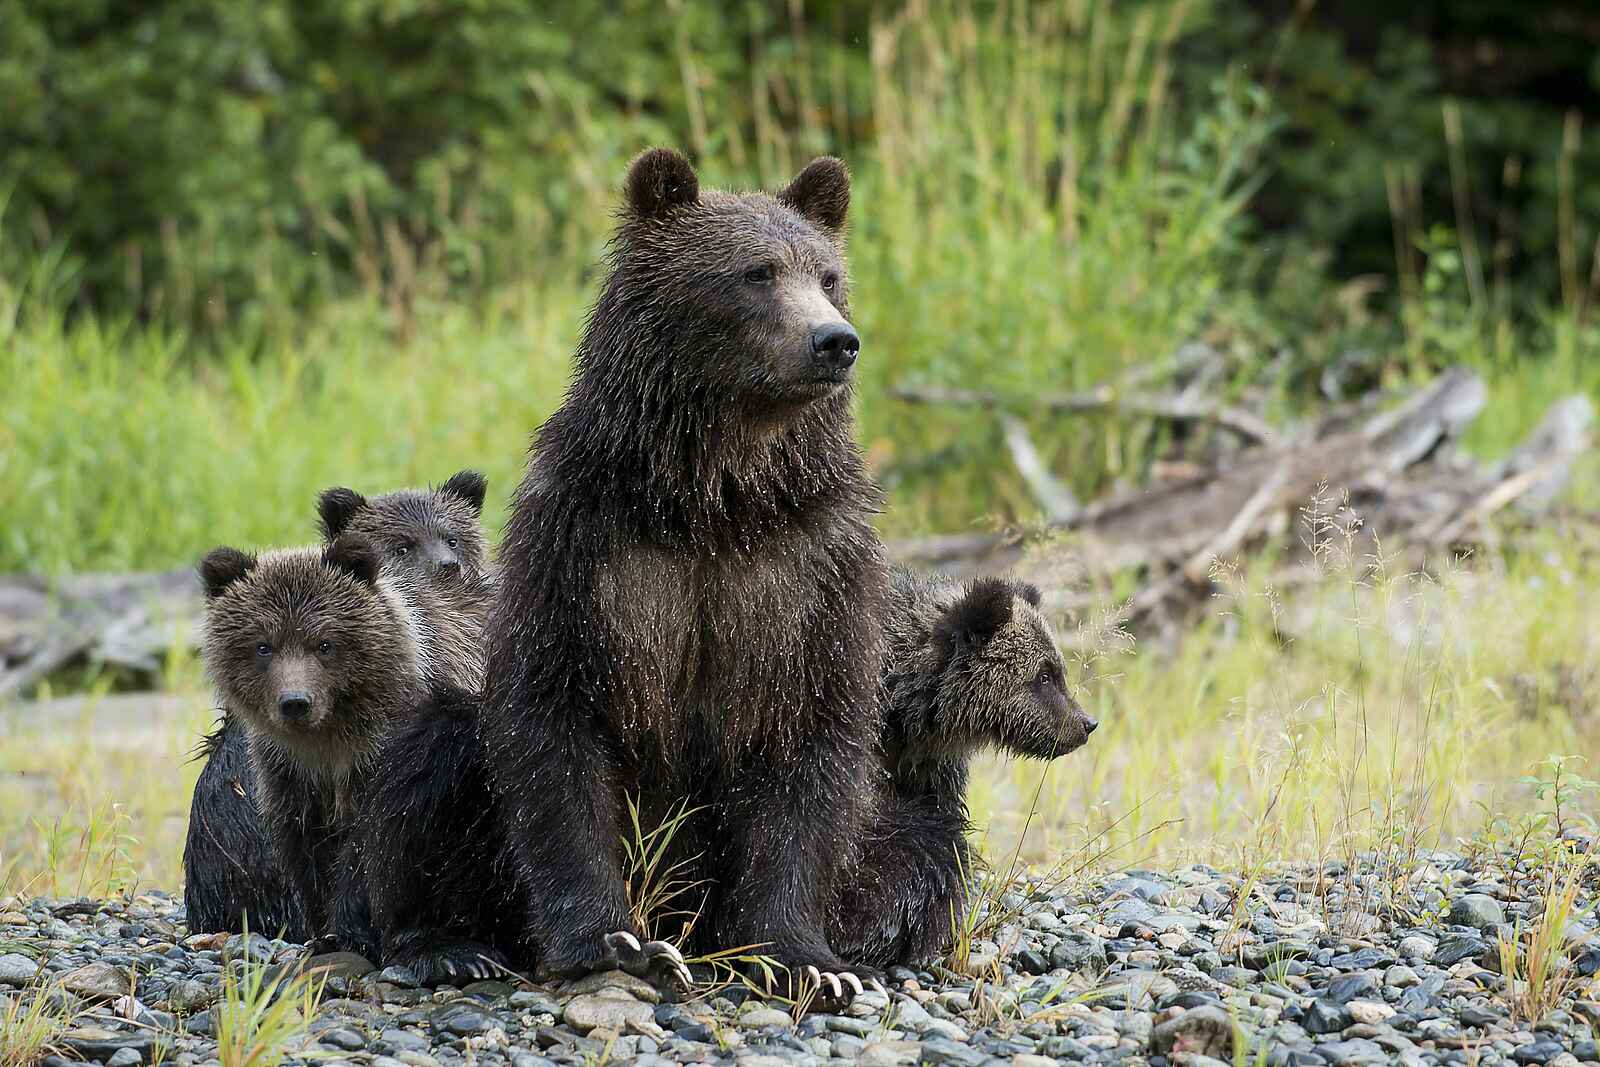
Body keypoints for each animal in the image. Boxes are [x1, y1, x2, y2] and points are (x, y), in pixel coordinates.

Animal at [479, 148, 886, 1002]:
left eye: (828, 275)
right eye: (756, 272)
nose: (835, 341)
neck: (713, 498)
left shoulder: (813, 571)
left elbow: (813, 743)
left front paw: (811, 959)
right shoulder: (583, 552)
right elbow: (553, 726)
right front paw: (620, 939)